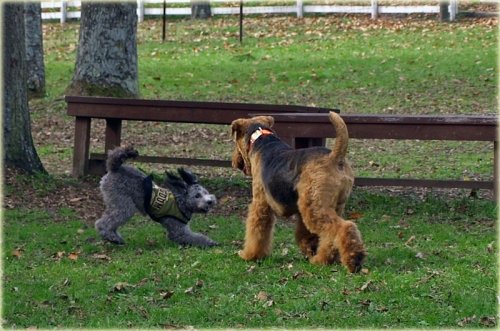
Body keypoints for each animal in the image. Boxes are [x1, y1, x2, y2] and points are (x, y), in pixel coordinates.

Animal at [231, 111, 368, 272]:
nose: (234, 162)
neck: (261, 140)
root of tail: (335, 157)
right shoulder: (301, 210)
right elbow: (305, 235)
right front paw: (309, 249)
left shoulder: (260, 205)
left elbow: (257, 231)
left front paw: (250, 255)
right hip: (330, 205)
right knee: (330, 236)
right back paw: (322, 259)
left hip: (314, 209)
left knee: (344, 227)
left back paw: (353, 260)